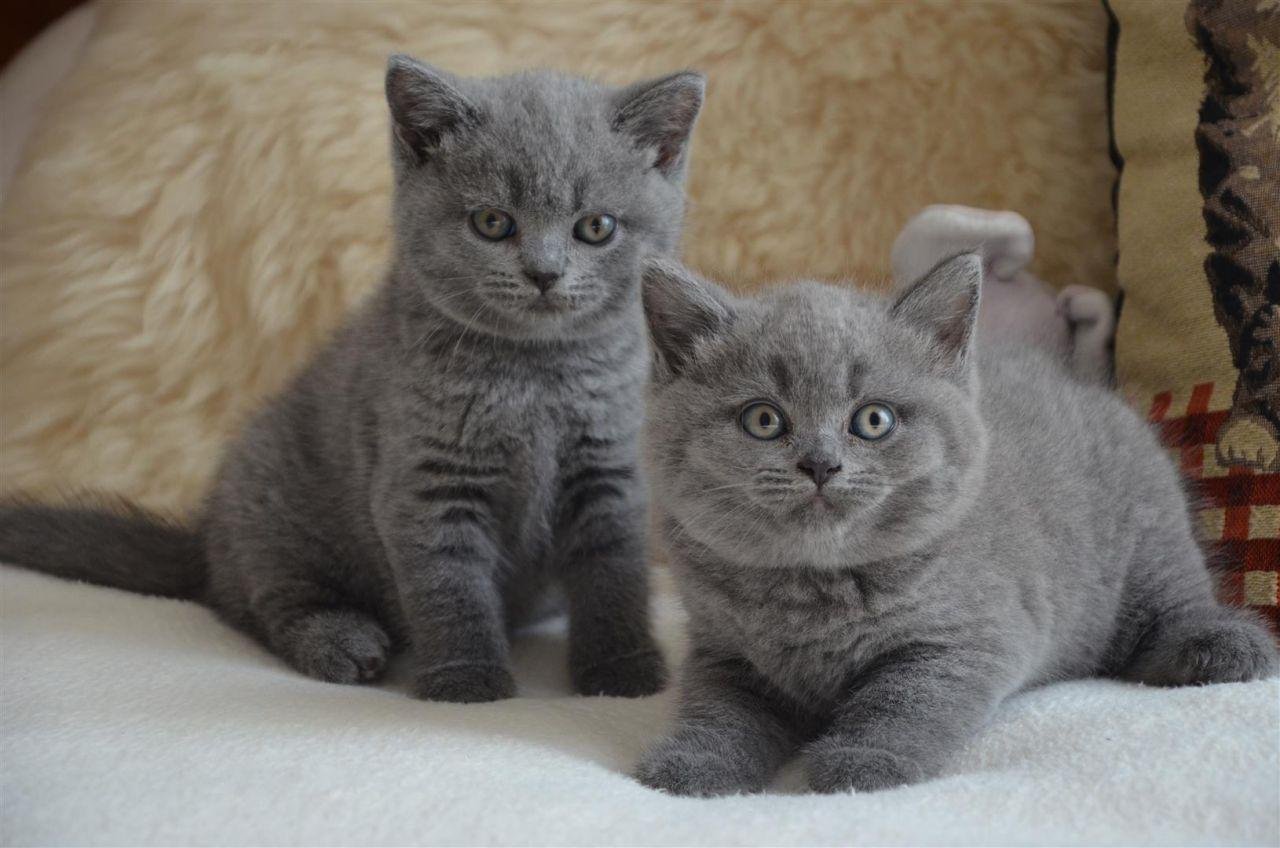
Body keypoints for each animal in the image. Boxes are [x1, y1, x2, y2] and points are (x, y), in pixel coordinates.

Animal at [0, 54, 711, 701]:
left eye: (596, 227)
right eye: (492, 223)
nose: (543, 273)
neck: (536, 375)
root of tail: (204, 539)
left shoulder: (608, 470)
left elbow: (613, 576)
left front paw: (622, 669)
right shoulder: (424, 479)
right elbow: (448, 585)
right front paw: (467, 680)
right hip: (276, 502)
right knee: (261, 602)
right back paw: (343, 642)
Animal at [634, 257, 1274, 799]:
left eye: (873, 420)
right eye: (763, 420)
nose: (820, 464)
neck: (814, 590)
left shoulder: (967, 639)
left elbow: (905, 700)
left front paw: (866, 761)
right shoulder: (724, 652)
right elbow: (719, 710)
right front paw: (692, 764)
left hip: (1148, 532)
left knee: (1173, 600)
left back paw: (1220, 646)